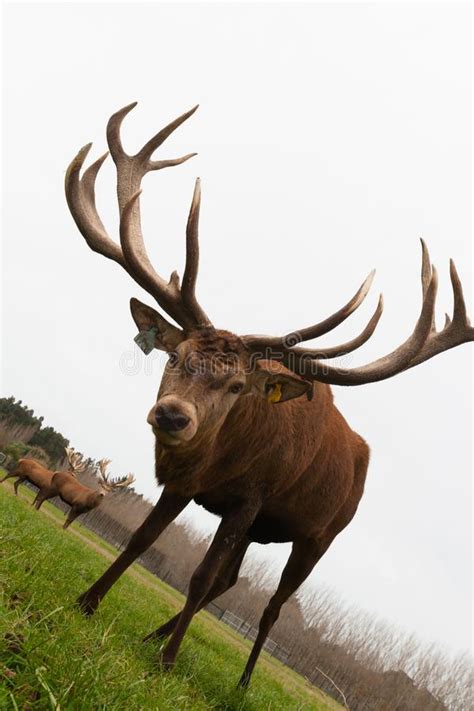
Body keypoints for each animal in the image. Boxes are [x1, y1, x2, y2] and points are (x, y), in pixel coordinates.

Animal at [65, 105, 472, 688]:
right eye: (174, 355)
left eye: (238, 385)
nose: (173, 416)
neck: (219, 459)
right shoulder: (188, 485)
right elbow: (143, 540)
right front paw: (88, 602)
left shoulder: (252, 496)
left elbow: (200, 573)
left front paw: (167, 664)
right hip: (264, 530)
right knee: (231, 580)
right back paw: (155, 635)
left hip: (321, 535)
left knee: (270, 606)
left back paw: (239, 681)